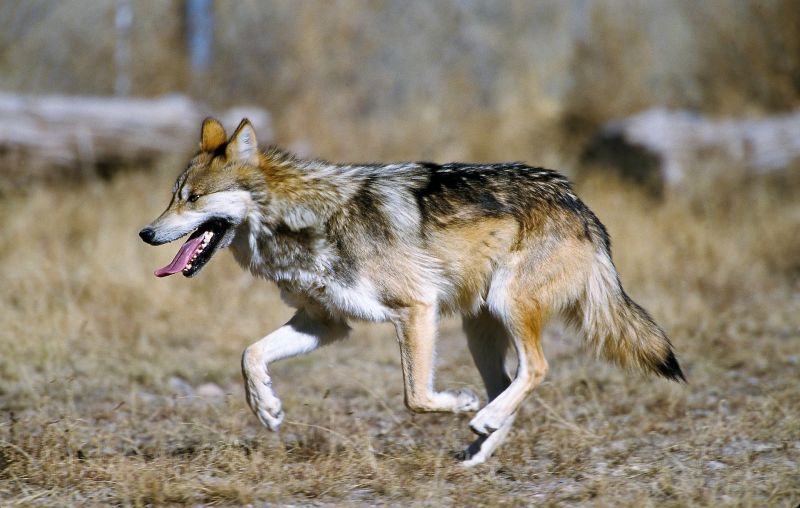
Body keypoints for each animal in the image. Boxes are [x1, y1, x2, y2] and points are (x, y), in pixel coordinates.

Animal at [139, 117, 688, 466]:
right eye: (172, 196)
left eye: (193, 198)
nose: (145, 233)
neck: (303, 220)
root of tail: (578, 203)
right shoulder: (325, 323)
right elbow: (250, 354)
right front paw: (267, 409)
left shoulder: (415, 309)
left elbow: (416, 397)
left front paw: (459, 403)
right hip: (478, 328)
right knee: (509, 383)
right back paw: (479, 449)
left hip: (506, 307)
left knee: (536, 369)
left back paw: (480, 418)